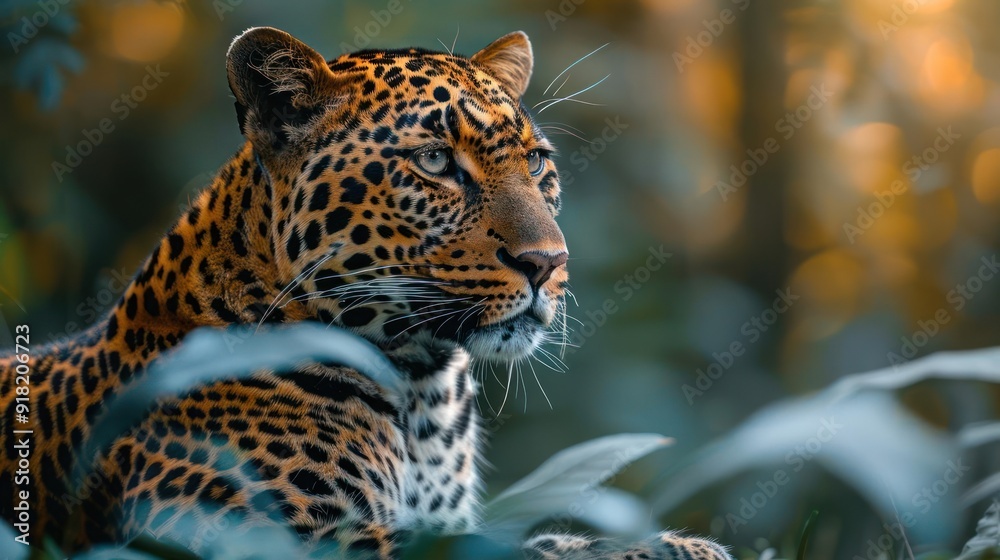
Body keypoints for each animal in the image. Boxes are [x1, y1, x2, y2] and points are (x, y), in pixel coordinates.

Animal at [0, 27, 732, 559]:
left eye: (537, 164)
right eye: (436, 161)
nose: (548, 263)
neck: (424, 395)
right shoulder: (254, 530)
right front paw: (669, 549)